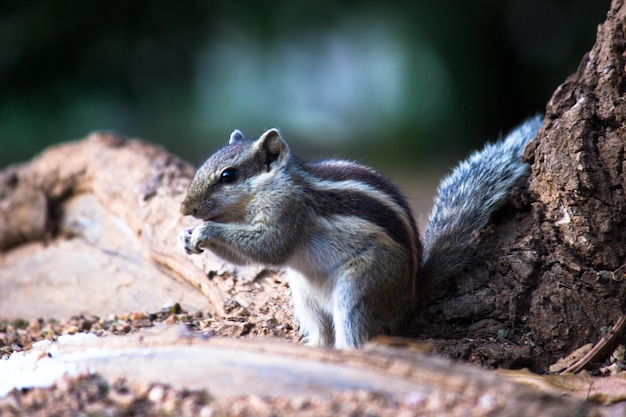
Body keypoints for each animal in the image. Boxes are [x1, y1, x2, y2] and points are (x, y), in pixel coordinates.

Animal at [178, 116, 540, 348]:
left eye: (228, 175)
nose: (184, 209)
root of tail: (412, 293)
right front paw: (186, 236)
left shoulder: (287, 211)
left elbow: (270, 248)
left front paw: (205, 231)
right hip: (304, 296)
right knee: (322, 331)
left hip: (361, 286)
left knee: (356, 335)